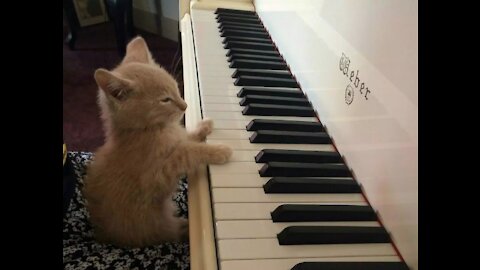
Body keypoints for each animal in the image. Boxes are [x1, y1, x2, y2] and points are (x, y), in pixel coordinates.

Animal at [83, 37, 232, 248]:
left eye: (176, 88)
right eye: (165, 99)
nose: (185, 105)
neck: (149, 129)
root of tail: (103, 235)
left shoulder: (176, 138)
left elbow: (186, 139)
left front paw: (203, 126)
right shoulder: (157, 175)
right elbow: (188, 152)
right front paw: (218, 151)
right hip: (155, 228)